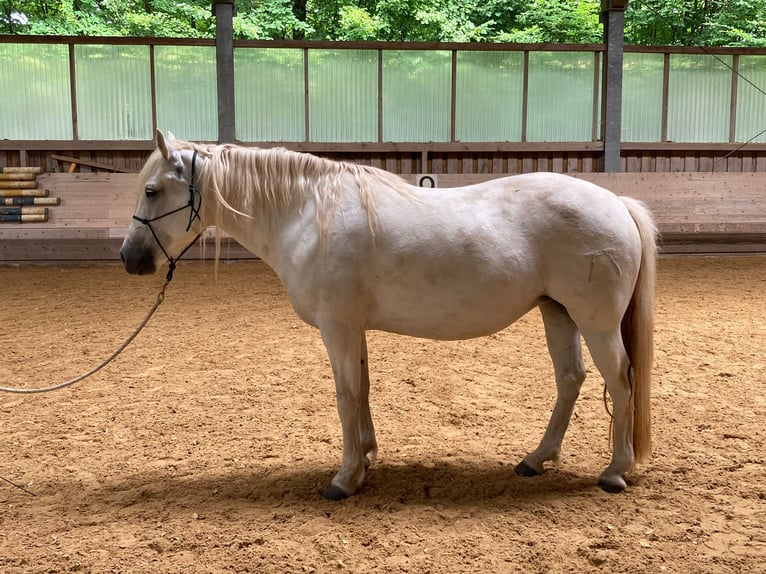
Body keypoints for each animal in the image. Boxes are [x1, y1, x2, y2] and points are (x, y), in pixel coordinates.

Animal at [121, 130, 660, 500]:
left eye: (151, 191)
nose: (130, 258)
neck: (307, 214)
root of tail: (616, 202)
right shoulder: (352, 329)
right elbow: (361, 392)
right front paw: (365, 461)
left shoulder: (337, 328)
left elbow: (345, 397)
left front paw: (343, 479)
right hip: (558, 313)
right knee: (571, 379)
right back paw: (536, 459)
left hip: (595, 322)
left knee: (620, 381)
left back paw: (615, 472)